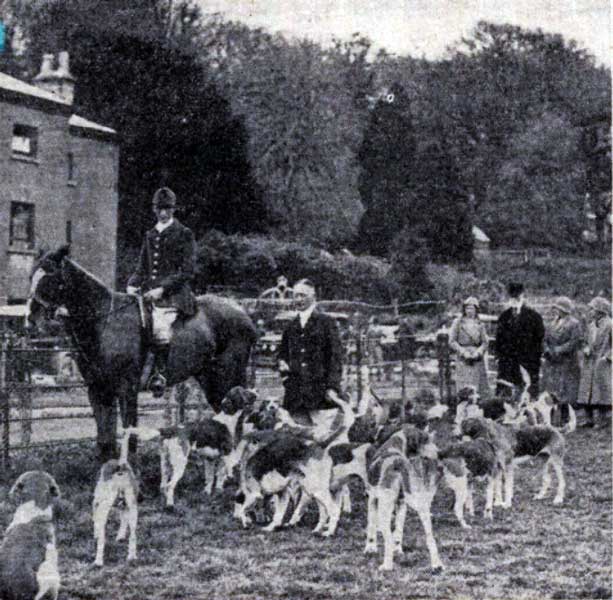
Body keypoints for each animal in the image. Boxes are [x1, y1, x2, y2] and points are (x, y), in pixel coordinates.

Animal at [25, 246, 256, 462]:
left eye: (50, 277)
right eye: (31, 276)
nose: (31, 321)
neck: (106, 320)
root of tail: (243, 313)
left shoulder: (127, 389)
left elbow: (129, 434)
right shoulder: (98, 389)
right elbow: (105, 438)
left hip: (228, 376)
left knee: (238, 415)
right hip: (210, 379)